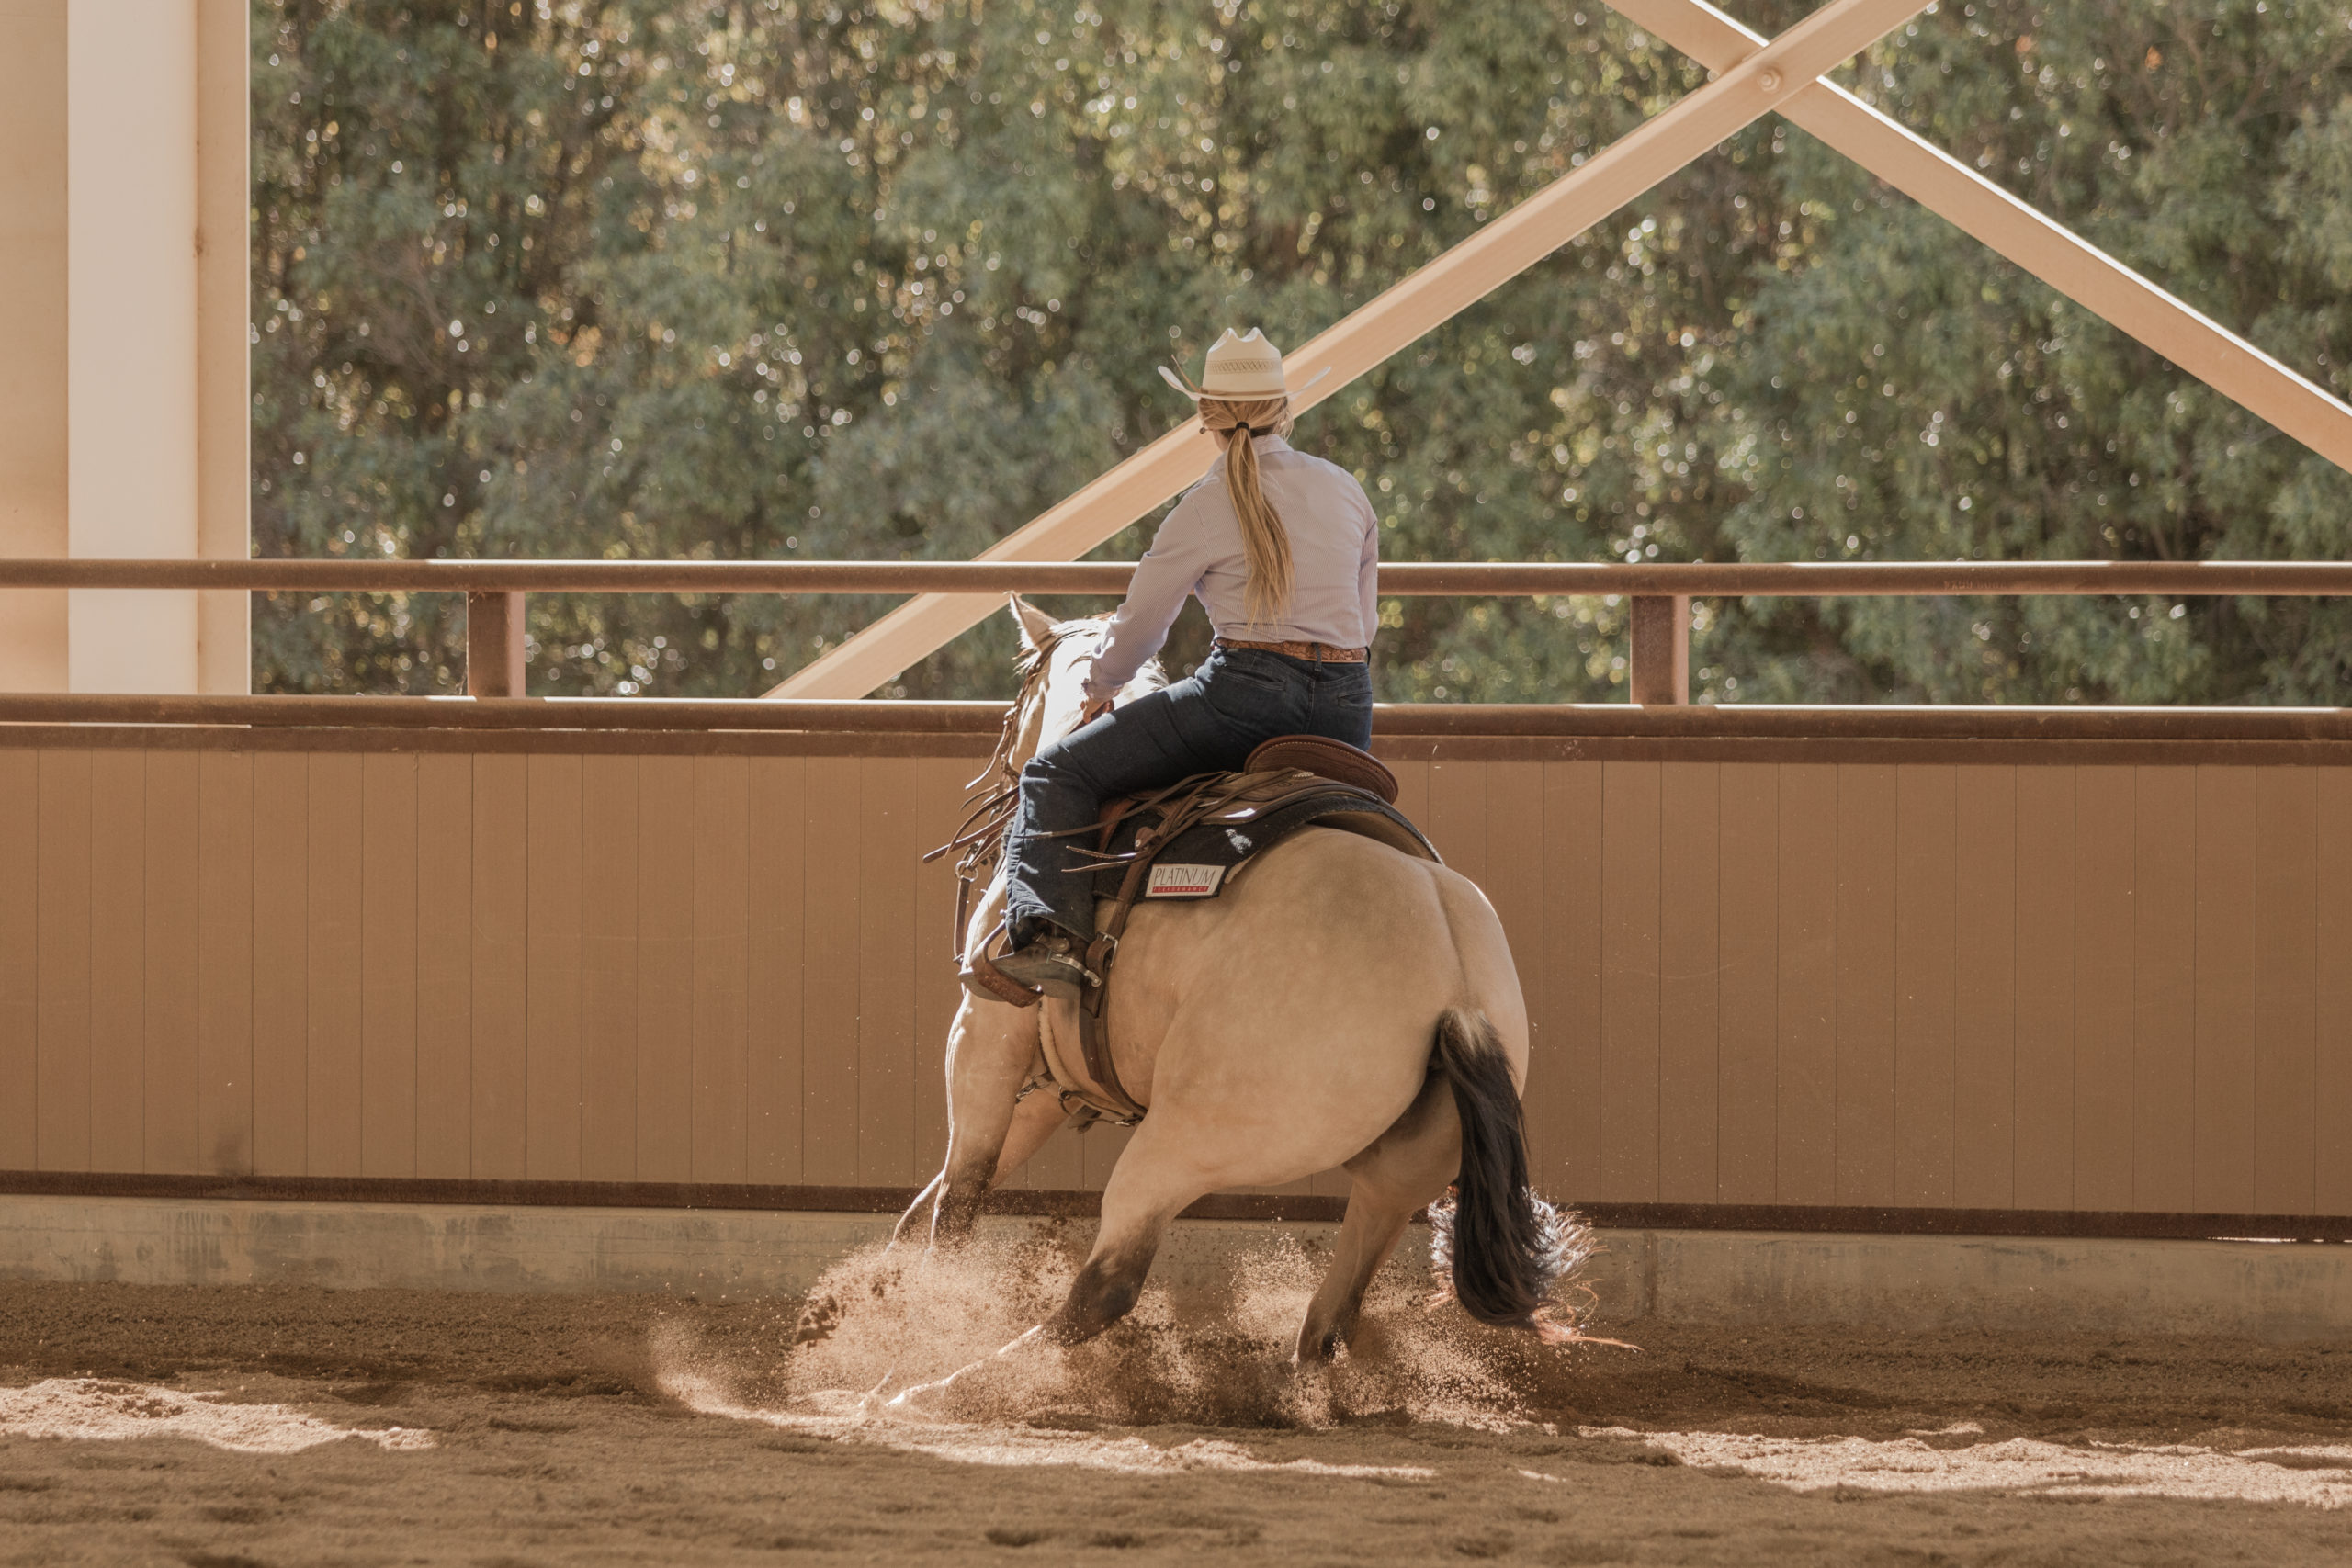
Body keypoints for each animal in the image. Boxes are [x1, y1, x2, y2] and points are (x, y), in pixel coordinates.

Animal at [876, 597, 1587, 1401]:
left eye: (1014, 699)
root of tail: (1455, 988)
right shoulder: (1054, 1079)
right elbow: (930, 1203)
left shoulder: (987, 1033)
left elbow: (957, 1201)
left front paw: (912, 1326)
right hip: (1400, 1176)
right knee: (1332, 1315)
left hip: (1184, 1142)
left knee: (1108, 1285)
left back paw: (927, 1389)